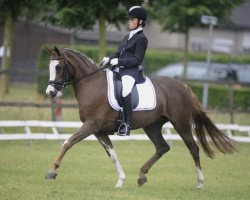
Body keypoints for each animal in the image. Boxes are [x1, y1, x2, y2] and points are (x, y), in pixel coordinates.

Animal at [45, 46, 236, 189]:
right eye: (50, 67)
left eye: (58, 67)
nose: (50, 92)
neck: (92, 84)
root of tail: (184, 87)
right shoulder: (99, 130)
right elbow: (112, 154)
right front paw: (121, 180)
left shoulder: (90, 125)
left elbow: (67, 142)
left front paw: (52, 172)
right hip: (152, 126)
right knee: (162, 147)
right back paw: (142, 175)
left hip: (180, 123)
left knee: (193, 149)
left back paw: (200, 183)